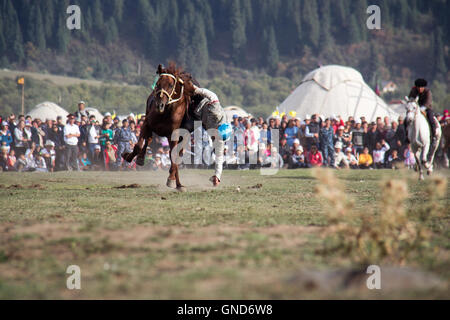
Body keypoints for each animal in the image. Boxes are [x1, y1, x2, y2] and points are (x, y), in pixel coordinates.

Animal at [123, 63, 195, 191]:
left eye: (171, 85)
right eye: (157, 83)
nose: (159, 105)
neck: (166, 111)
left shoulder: (174, 135)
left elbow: (174, 156)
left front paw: (172, 180)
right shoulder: (147, 124)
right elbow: (139, 145)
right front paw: (129, 156)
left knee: (176, 155)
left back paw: (178, 183)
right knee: (149, 139)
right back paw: (141, 158)